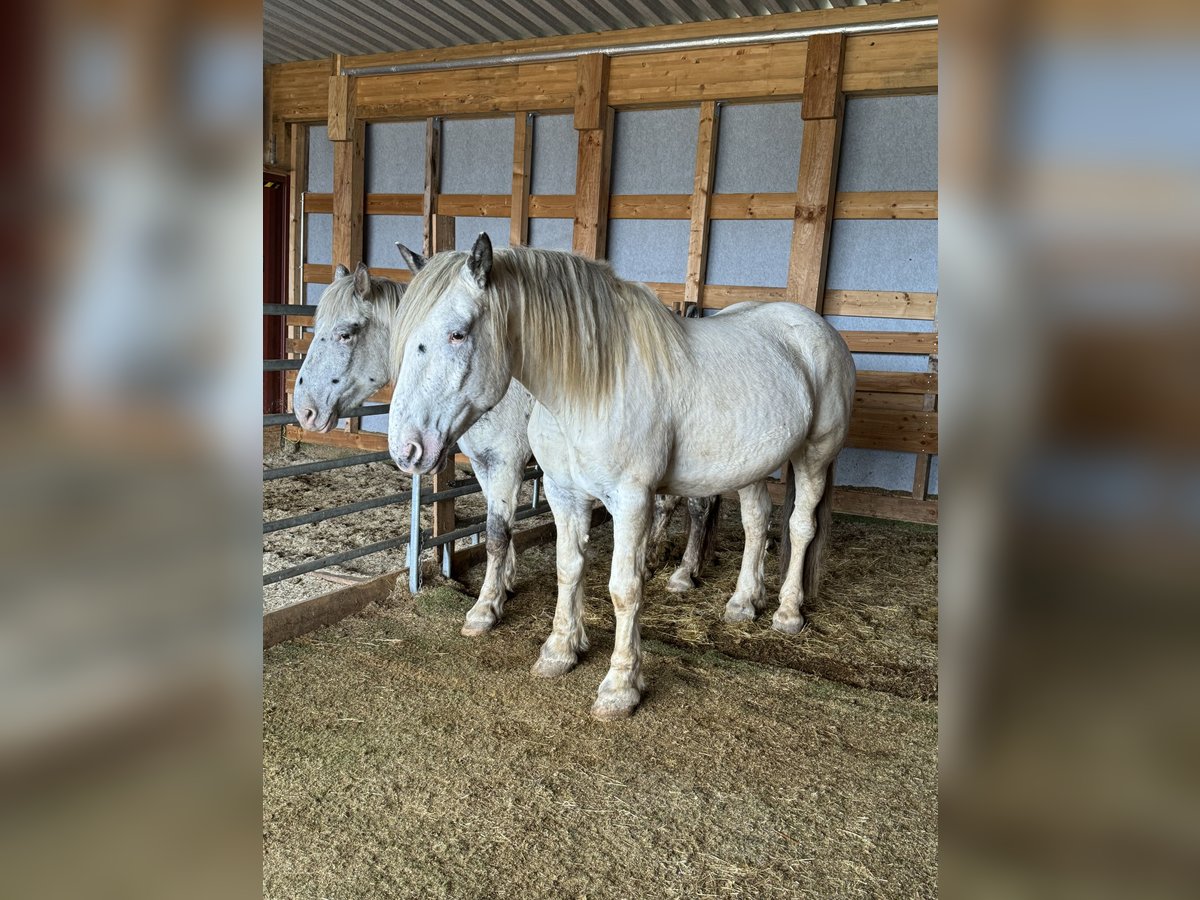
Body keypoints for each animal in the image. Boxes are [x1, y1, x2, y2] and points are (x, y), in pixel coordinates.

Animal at [384, 237, 854, 720]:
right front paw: (560, 651)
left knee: (800, 527)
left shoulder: (632, 502)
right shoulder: (562, 493)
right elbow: (568, 568)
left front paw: (620, 687)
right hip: (750, 466)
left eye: (458, 333)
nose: (407, 449)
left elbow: (624, 589)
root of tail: (817, 329)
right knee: (756, 522)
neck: (589, 387)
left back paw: (787, 612)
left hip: (814, 456)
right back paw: (744, 602)